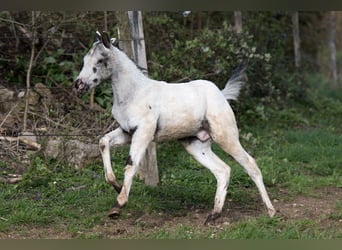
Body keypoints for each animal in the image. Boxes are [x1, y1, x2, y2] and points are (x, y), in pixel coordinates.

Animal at [75, 30, 276, 224]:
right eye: (84, 60)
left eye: (100, 60)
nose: (79, 84)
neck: (133, 93)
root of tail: (221, 94)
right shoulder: (127, 132)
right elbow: (103, 142)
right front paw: (116, 186)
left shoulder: (143, 133)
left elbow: (131, 165)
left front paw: (118, 205)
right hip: (196, 145)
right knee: (223, 170)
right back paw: (214, 215)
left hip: (225, 136)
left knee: (250, 164)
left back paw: (271, 211)